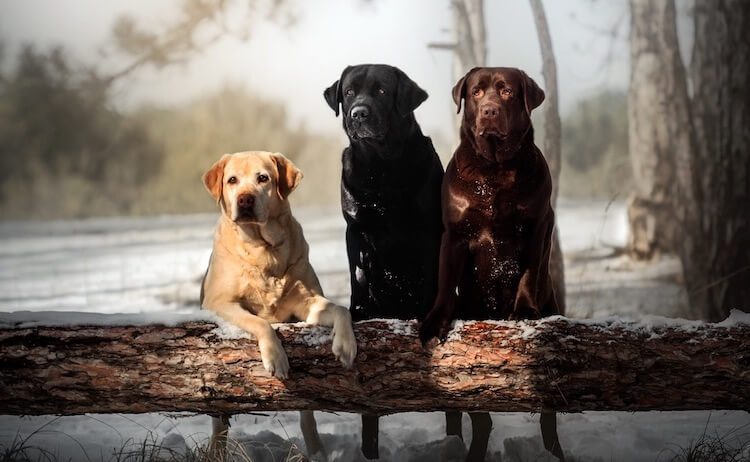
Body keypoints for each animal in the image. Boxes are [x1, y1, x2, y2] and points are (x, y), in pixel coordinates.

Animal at [324, 64, 444, 458]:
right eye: (348, 92)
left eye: (381, 91)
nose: (358, 113)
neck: (380, 166)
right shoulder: (355, 231)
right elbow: (357, 277)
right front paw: (359, 315)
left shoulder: (429, 232)